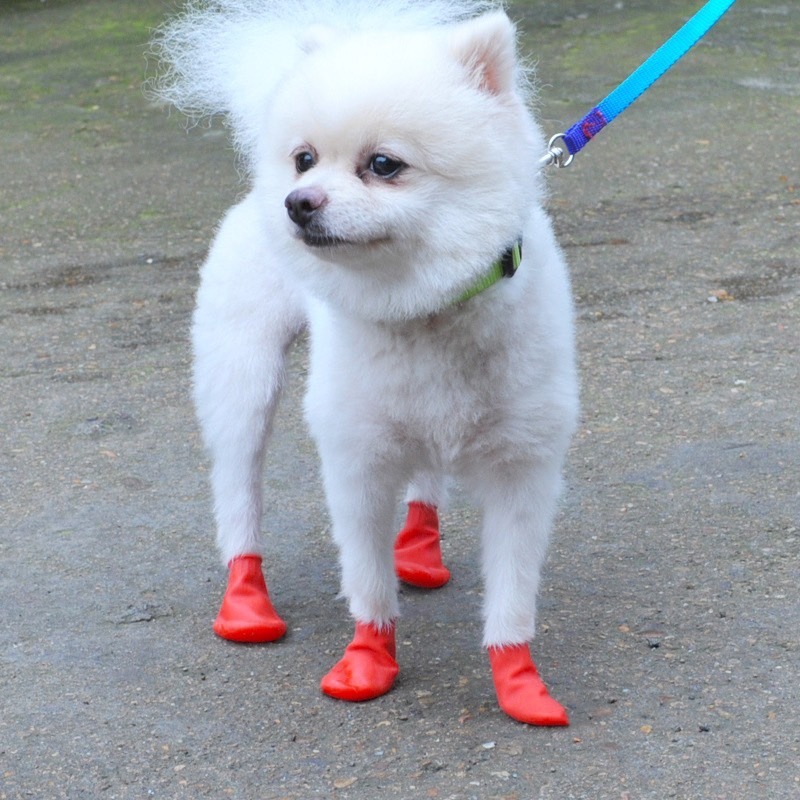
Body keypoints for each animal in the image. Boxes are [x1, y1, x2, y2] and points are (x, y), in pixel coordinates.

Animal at [152, 0, 576, 724]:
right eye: (304, 160)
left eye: (384, 164)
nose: (298, 202)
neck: (422, 308)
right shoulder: (359, 461)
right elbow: (367, 579)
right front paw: (367, 660)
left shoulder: (523, 467)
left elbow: (514, 590)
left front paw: (519, 681)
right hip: (242, 378)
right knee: (238, 488)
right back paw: (246, 601)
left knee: (425, 482)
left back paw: (420, 551)